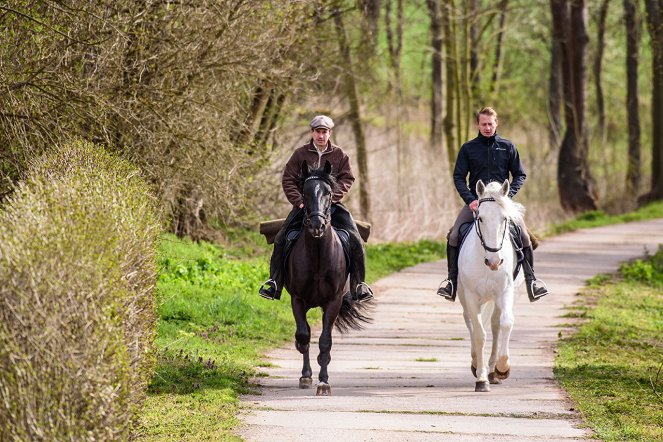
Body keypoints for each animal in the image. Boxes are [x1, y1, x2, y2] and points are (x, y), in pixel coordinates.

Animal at [286, 161, 374, 396]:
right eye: (304, 193)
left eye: (328, 193)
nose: (317, 226)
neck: (318, 254)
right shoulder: (297, 299)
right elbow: (304, 335)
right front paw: (307, 376)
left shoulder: (333, 301)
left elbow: (325, 341)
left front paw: (324, 383)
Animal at [456, 178, 524, 392]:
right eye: (480, 219)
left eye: (504, 219)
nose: (494, 261)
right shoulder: (470, 296)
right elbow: (479, 334)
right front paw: (481, 379)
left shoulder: (505, 292)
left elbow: (506, 323)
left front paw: (502, 367)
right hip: (464, 297)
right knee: (470, 322)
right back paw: (477, 364)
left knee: (495, 325)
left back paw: (494, 371)